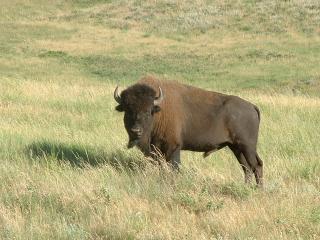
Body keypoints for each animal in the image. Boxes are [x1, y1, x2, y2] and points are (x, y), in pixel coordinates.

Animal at [114, 76, 264, 187]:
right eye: (127, 110)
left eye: (148, 110)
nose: (136, 131)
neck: (159, 110)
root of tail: (252, 106)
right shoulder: (156, 150)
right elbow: (161, 167)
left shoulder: (173, 147)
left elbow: (174, 168)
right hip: (236, 147)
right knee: (246, 167)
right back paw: (247, 187)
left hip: (247, 146)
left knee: (256, 165)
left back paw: (259, 189)